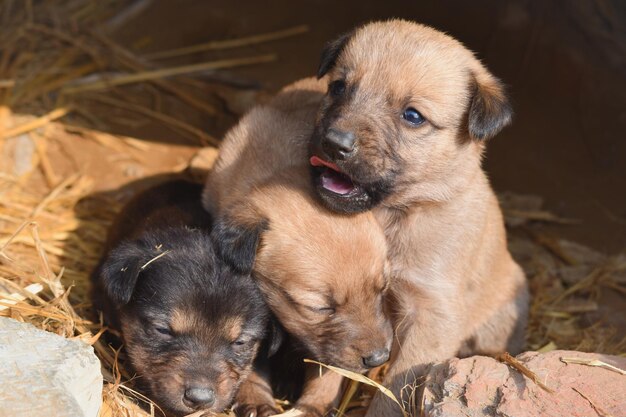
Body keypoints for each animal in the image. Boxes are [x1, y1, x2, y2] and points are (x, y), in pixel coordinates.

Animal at [205, 85, 390, 416]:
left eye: (383, 289)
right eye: (319, 308)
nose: (379, 358)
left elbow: (328, 369)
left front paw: (313, 404)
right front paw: (256, 399)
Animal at [308, 20, 528, 416]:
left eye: (412, 116)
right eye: (338, 87)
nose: (334, 143)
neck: (394, 217)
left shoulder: (430, 316)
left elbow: (392, 391)